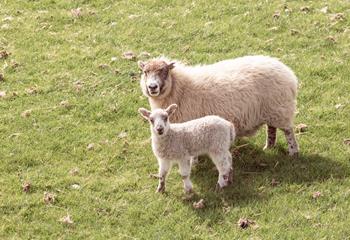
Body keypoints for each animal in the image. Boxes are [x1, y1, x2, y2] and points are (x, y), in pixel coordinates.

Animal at [138, 55, 300, 157]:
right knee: (271, 128)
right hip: (272, 110)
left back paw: (293, 152)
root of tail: (288, 73)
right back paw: (269, 147)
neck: (180, 88)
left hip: (280, 108)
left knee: (288, 131)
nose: (152, 87)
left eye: (163, 71)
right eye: (145, 72)